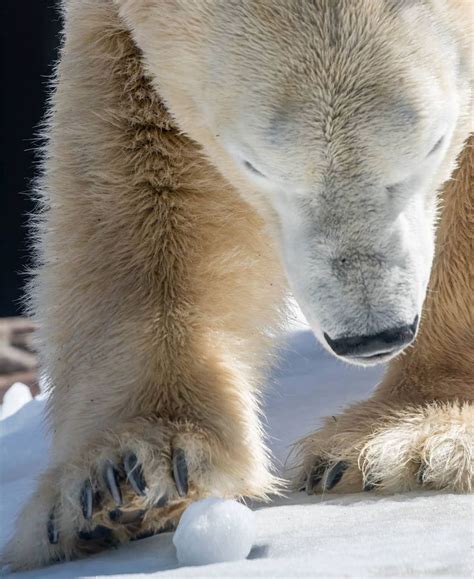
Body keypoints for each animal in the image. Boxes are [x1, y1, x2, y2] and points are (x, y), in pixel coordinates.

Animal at [3, 0, 474, 572]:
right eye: (254, 164)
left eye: (434, 143)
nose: (372, 335)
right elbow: (138, 154)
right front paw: (123, 479)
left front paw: (410, 438)